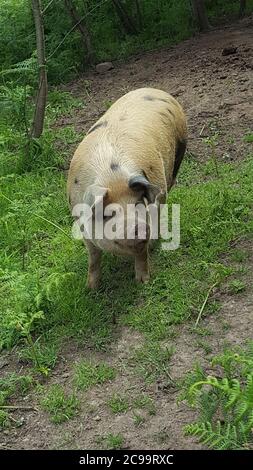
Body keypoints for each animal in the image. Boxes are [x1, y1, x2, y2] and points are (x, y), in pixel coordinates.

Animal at [66, 86, 186, 288]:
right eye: (108, 214)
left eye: (138, 204)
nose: (138, 226)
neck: (112, 178)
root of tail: (157, 90)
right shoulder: (82, 226)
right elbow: (93, 257)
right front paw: (91, 288)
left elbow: (142, 254)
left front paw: (143, 282)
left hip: (179, 153)